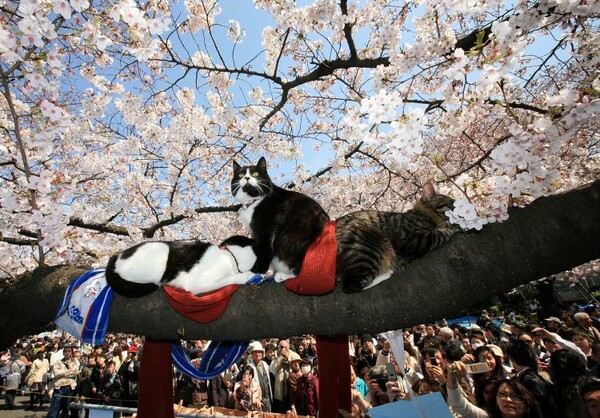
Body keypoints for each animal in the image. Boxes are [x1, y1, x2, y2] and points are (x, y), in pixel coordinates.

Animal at [105, 235, 255, 298]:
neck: (230, 257)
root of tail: (115, 255)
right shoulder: (198, 283)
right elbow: (230, 278)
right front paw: (249, 276)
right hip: (161, 251)